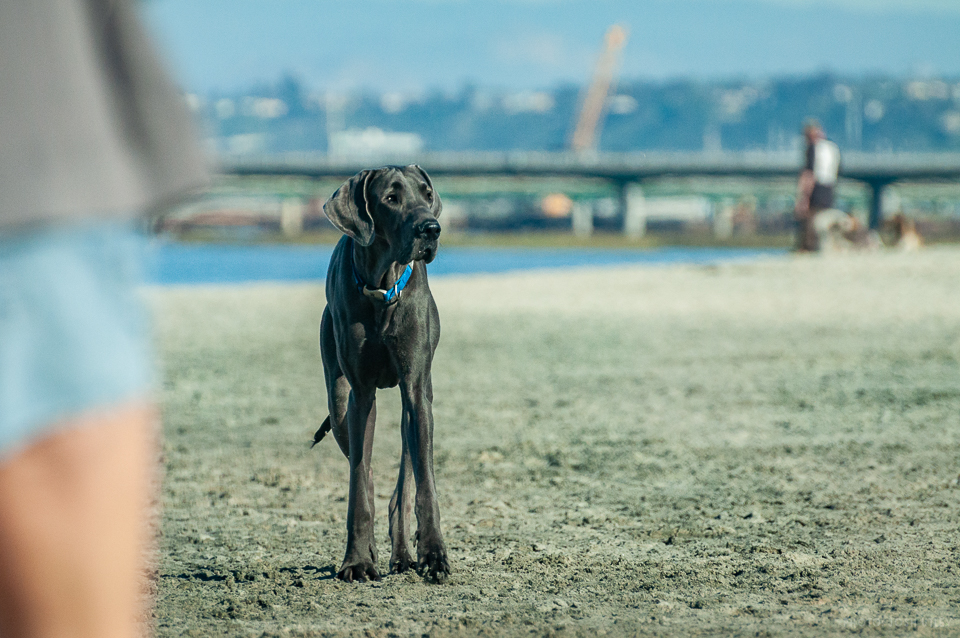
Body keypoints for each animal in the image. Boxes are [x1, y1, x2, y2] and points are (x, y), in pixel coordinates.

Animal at [314, 165, 452, 584]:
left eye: (426, 194)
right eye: (391, 198)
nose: (431, 228)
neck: (382, 288)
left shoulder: (417, 389)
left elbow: (424, 484)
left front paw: (434, 555)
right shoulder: (359, 393)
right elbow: (359, 481)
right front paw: (357, 560)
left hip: (418, 402)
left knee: (405, 479)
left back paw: (404, 555)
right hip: (339, 402)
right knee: (365, 469)